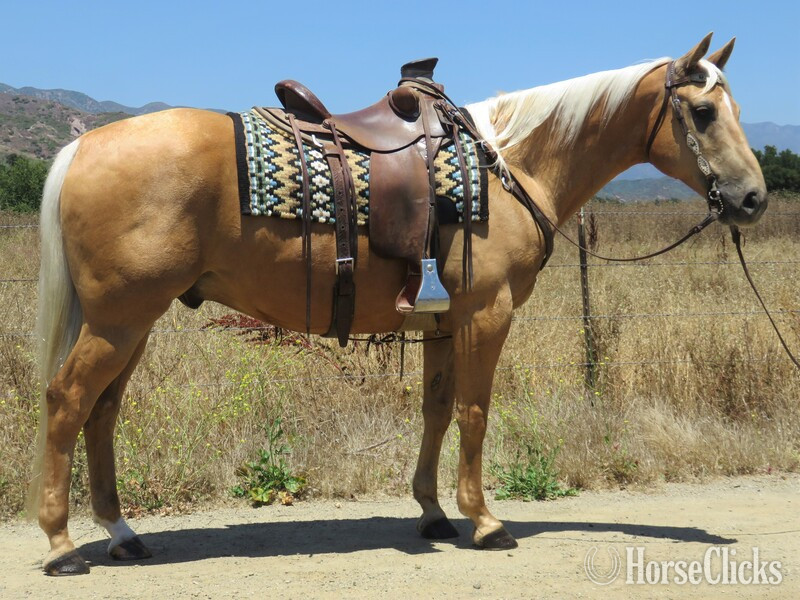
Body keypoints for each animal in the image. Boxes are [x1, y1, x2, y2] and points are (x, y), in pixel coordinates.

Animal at [28, 33, 766, 575]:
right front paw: (485, 521)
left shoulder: (443, 321)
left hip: (132, 324)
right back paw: (63, 547)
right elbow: (474, 413)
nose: (753, 198)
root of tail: (82, 145)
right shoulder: (486, 315)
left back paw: (122, 533)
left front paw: (434, 514)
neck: (511, 165)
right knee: (69, 402)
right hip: (119, 321)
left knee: (102, 413)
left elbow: (436, 412)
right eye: (703, 113)